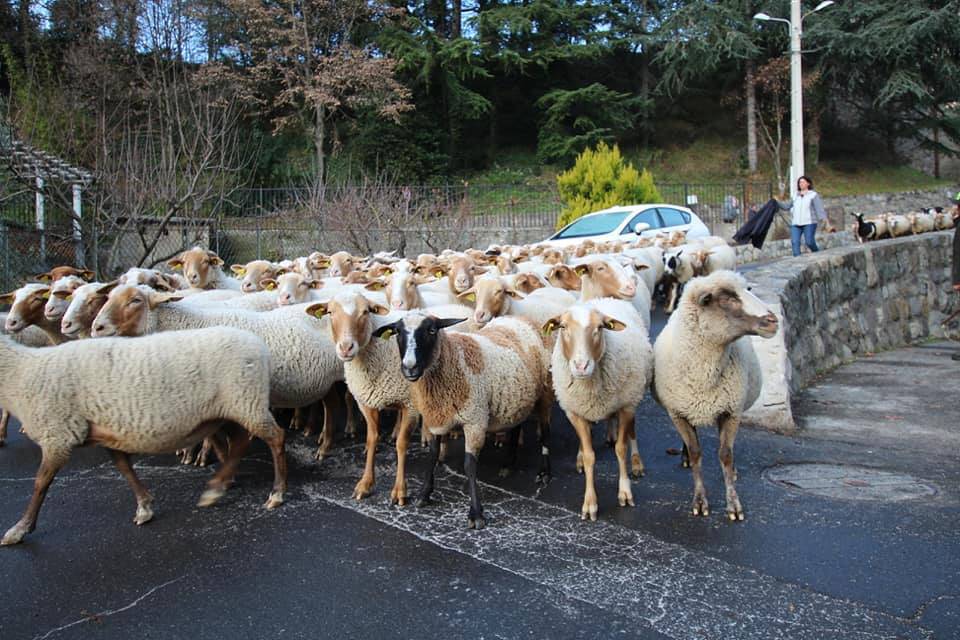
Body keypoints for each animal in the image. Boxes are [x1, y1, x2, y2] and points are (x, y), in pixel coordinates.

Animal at [0, 330, 286, 544]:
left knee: (275, 438)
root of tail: (259, 346)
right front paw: (145, 507)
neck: (19, 374)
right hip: (227, 410)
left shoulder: (57, 435)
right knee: (240, 442)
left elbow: (40, 483)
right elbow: (124, 468)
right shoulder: (105, 432)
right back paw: (219, 486)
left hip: (245, 401)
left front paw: (19, 529)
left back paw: (276, 493)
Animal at [376, 312, 556, 528]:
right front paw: (424, 494)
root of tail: (523, 318)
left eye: (432, 330)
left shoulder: (474, 420)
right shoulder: (436, 417)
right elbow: (433, 454)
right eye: (397, 332)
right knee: (516, 426)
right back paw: (508, 464)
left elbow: (469, 465)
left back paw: (544, 473)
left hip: (545, 392)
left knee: (546, 432)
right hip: (518, 398)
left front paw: (476, 513)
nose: (410, 367)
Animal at [544, 296, 656, 520]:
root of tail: (605, 298)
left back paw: (636, 462)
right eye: (563, 326)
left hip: (635, 394)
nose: (581, 366)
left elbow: (621, 449)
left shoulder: (626, 406)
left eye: (600, 327)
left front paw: (625, 493)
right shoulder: (574, 412)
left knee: (632, 431)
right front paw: (590, 503)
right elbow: (590, 456)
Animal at [652, 272, 780, 524]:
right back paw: (684, 457)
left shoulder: (730, 412)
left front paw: (734, 505)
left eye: (747, 289)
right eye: (727, 299)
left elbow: (725, 455)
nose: (773, 321)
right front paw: (700, 502)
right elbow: (696, 453)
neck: (705, 375)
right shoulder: (679, 413)